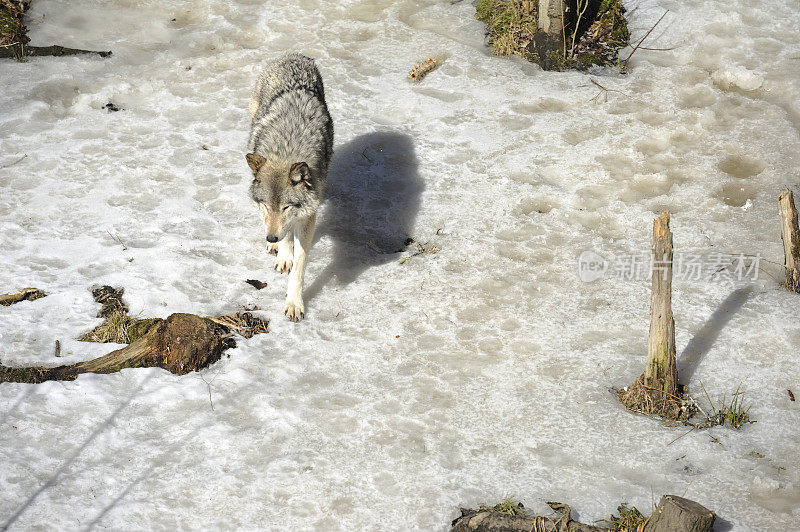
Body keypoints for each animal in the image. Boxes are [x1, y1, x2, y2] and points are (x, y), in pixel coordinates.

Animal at [244, 53, 332, 320]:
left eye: (286, 207)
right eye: (266, 205)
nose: (270, 236)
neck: (286, 148)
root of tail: (294, 56)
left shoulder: (307, 213)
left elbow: (301, 263)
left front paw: (294, 303)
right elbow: (285, 239)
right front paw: (283, 253)